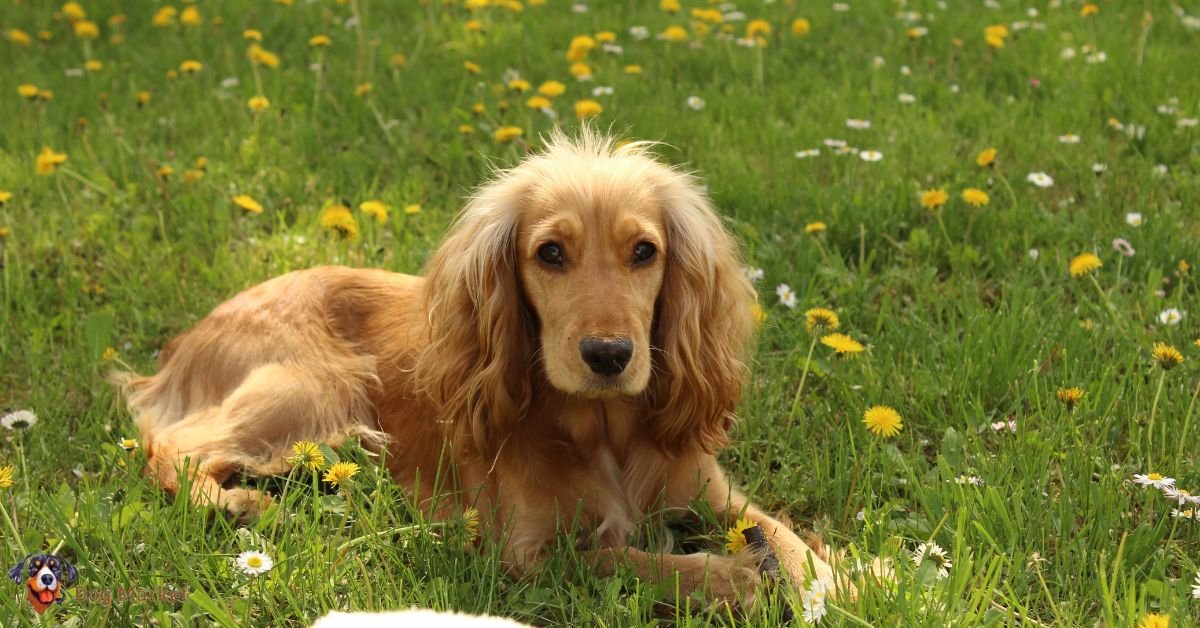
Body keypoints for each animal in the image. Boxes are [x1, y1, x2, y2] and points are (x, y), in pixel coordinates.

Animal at [114, 126, 844, 605]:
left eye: (644, 251)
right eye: (550, 253)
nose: (609, 355)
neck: (606, 430)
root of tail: (188, 340)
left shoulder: (708, 488)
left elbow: (779, 532)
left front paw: (844, 576)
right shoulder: (525, 554)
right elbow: (627, 560)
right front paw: (733, 578)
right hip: (316, 390)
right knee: (173, 447)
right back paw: (238, 504)